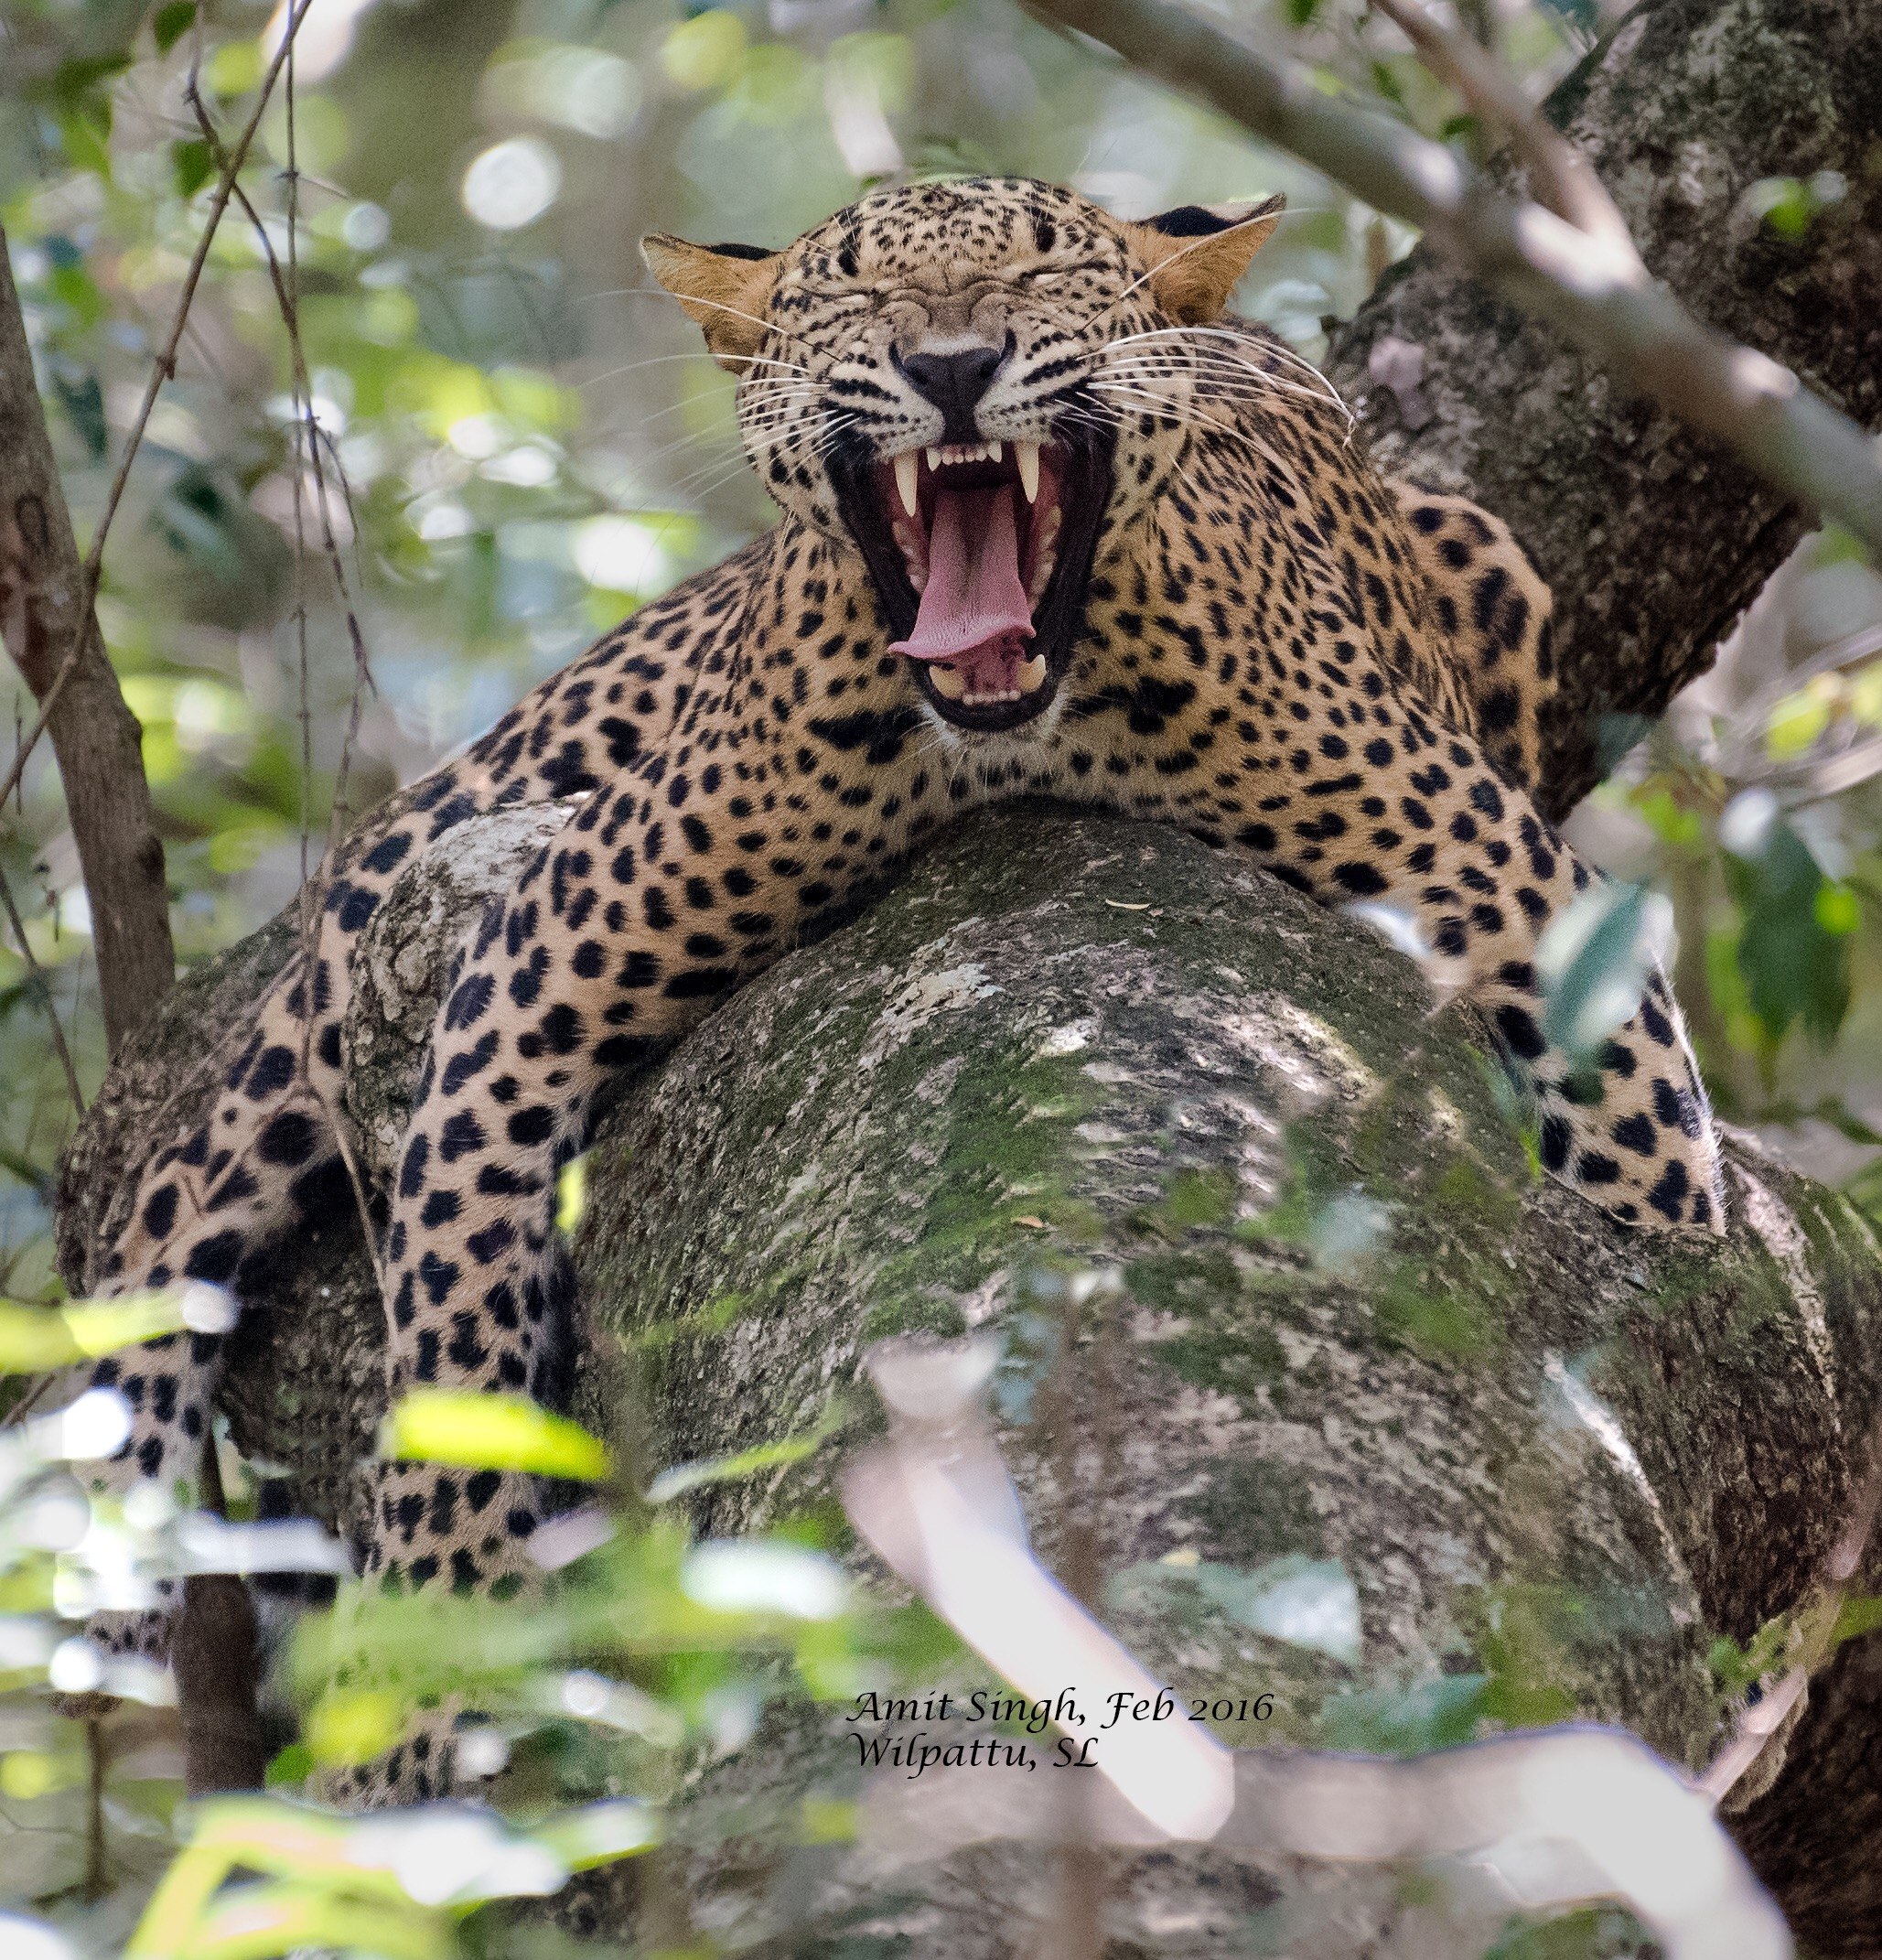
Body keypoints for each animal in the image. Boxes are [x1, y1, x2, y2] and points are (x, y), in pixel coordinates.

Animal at [48, 180, 1717, 1803]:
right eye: (851, 289)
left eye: (1041, 271)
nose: (953, 363)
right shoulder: (545, 953)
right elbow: (455, 1320)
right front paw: (420, 1683)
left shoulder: (1524, 911)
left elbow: (1660, 1201)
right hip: (453, 831)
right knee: (200, 1176)